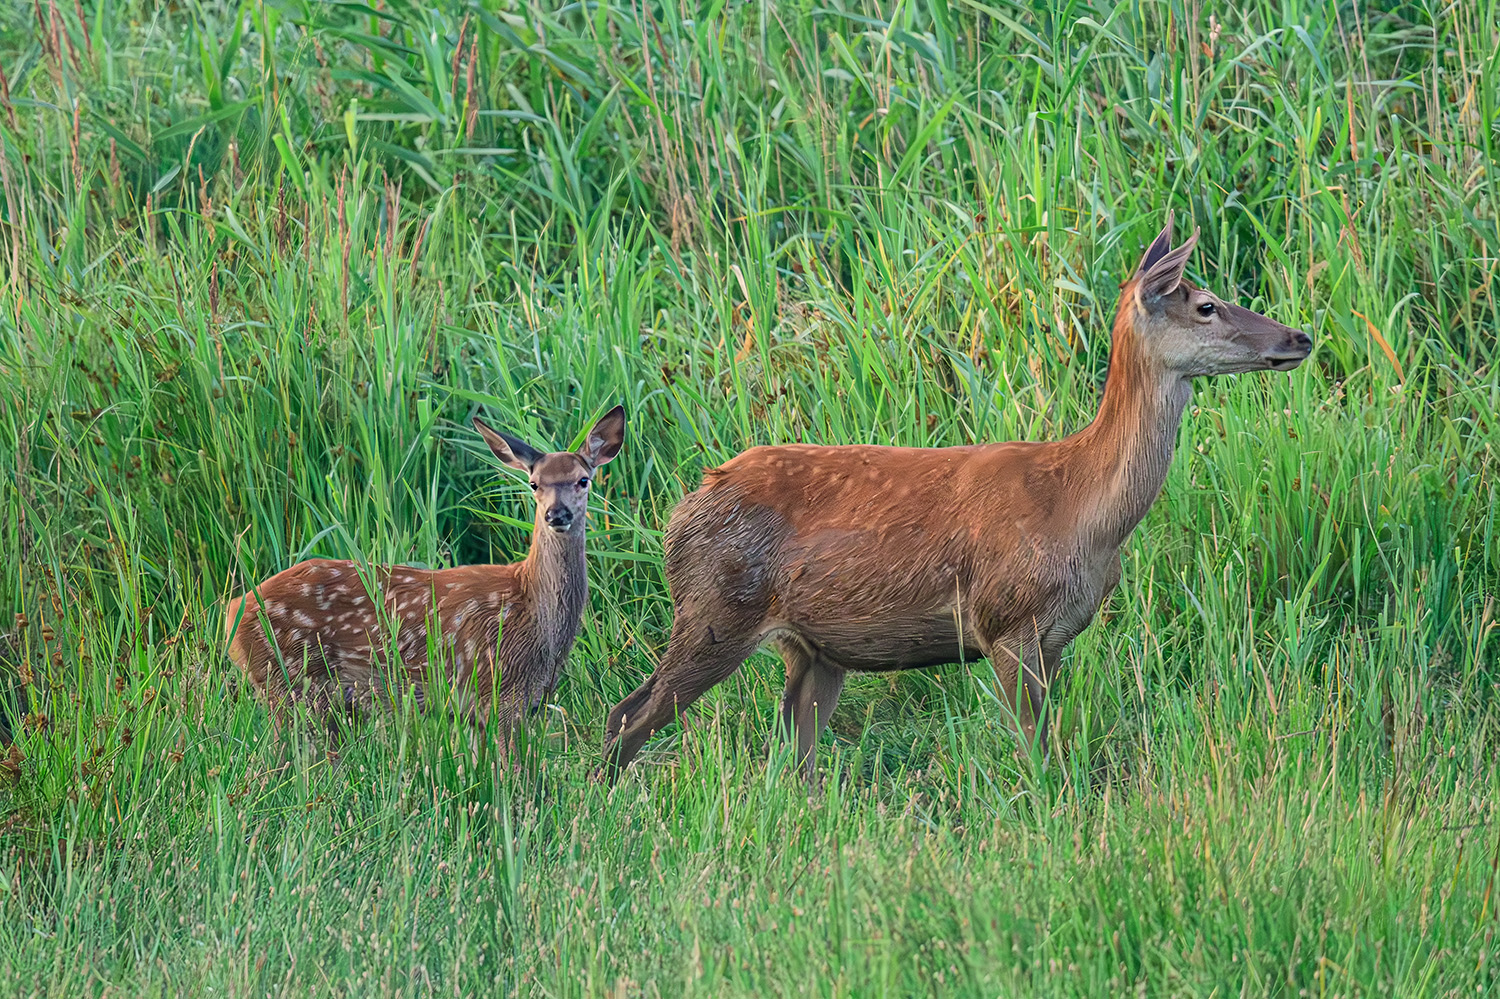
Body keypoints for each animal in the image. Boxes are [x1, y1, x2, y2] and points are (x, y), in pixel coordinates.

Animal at [223, 405, 627, 738]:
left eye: (583, 480)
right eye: (534, 484)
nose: (556, 514)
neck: (532, 611)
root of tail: (233, 613)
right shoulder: (497, 691)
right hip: (292, 683)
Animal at [603, 214, 1308, 780]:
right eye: (1207, 305)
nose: (1299, 337)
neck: (1084, 507)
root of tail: (682, 509)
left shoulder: (1054, 636)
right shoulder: (1008, 619)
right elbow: (1038, 753)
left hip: (810, 648)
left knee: (793, 750)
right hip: (715, 610)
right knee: (628, 713)